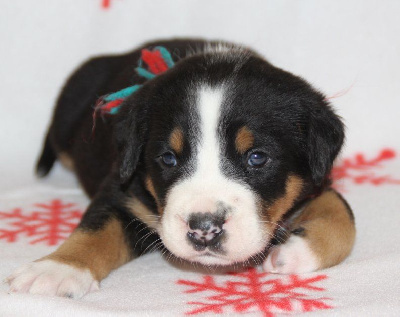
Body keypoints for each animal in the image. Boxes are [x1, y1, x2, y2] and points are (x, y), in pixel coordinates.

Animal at [6, 39, 354, 296]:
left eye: (257, 157)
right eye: (168, 158)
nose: (204, 229)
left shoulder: (317, 179)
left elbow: (343, 217)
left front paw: (296, 251)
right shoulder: (123, 190)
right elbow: (96, 229)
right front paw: (56, 269)